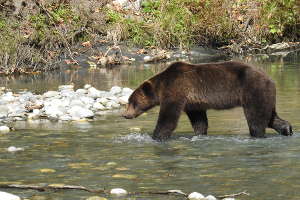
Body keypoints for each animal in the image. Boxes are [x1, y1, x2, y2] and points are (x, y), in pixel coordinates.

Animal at [122, 61, 292, 141]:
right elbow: (199, 120)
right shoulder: (192, 102)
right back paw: (287, 129)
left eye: (132, 102)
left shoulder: (176, 90)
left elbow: (168, 117)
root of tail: (271, 79)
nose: (125, 115)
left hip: (253, 90)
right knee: (270, 117)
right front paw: (200, 133)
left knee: (256, 119)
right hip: (265, 94)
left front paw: (156, 136)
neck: (161, 86)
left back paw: (258, 134)